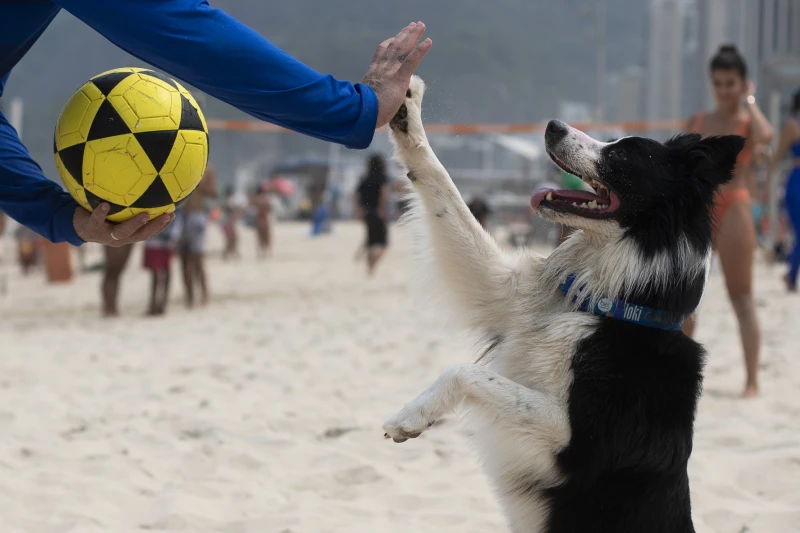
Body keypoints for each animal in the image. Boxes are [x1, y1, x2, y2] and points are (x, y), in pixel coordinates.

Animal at [382, 78, 744, 532]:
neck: (608, 307)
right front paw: (406, 108)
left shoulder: (576, 443)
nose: (553, 125)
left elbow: (468, 372)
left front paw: (411, 415)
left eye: (622, 153)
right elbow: (441, 184)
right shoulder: (504, 294)